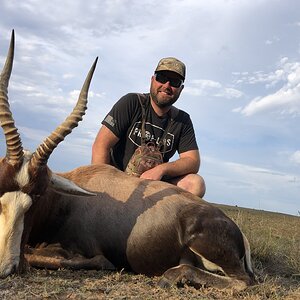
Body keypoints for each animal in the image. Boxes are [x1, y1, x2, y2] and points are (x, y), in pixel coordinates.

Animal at [1, 31, 256, 290]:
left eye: (38, 196)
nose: (6, 266)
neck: (68, 199)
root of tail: (239, 233)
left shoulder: (90, 253)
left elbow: (56, 258)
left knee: (244, 281)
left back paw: (171, 276)